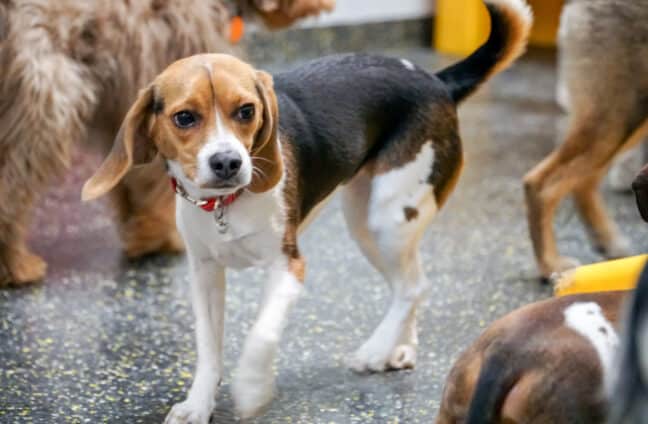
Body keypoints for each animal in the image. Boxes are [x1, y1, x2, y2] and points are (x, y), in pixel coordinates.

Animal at [0, 0, 334, 284]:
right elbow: (154, 178)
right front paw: (158, 235)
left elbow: (128, 175)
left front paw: (140, 230)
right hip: (44, 103)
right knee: (13, 185)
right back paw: (17, 264)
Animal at [82, 0, 532, 420]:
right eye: (185, 118)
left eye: (246, 110)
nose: (228, 162)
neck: (227, 205)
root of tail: (436, 80)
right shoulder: (205, 273)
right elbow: (208, 350)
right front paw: (198, 404)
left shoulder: (289, 267)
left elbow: (262, 334)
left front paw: (252, 387)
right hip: (366, 223)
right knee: (411, 282)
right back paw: (399, 348)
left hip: (388, 218)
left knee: (413, 287)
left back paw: (375, 350)